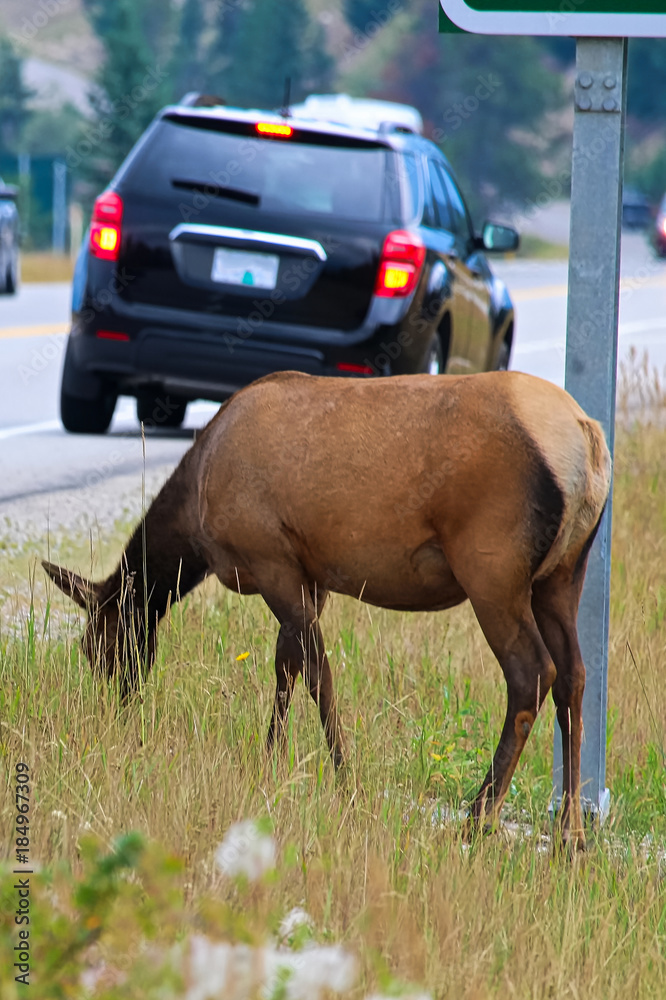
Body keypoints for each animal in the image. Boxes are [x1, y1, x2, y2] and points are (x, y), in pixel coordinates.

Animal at [43, 370, 611, 850]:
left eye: (96, 648)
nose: (116, 715)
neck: (195, 521)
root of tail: (589, 442)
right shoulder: (308, 575)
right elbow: (286, 666)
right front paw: (270, 762)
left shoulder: (271, 559)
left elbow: (318, 675)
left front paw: (345, 781)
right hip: (563, 574)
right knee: (575, 676)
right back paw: (572, 834)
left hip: (492, 569)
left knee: (531, 674)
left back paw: (478, 818)